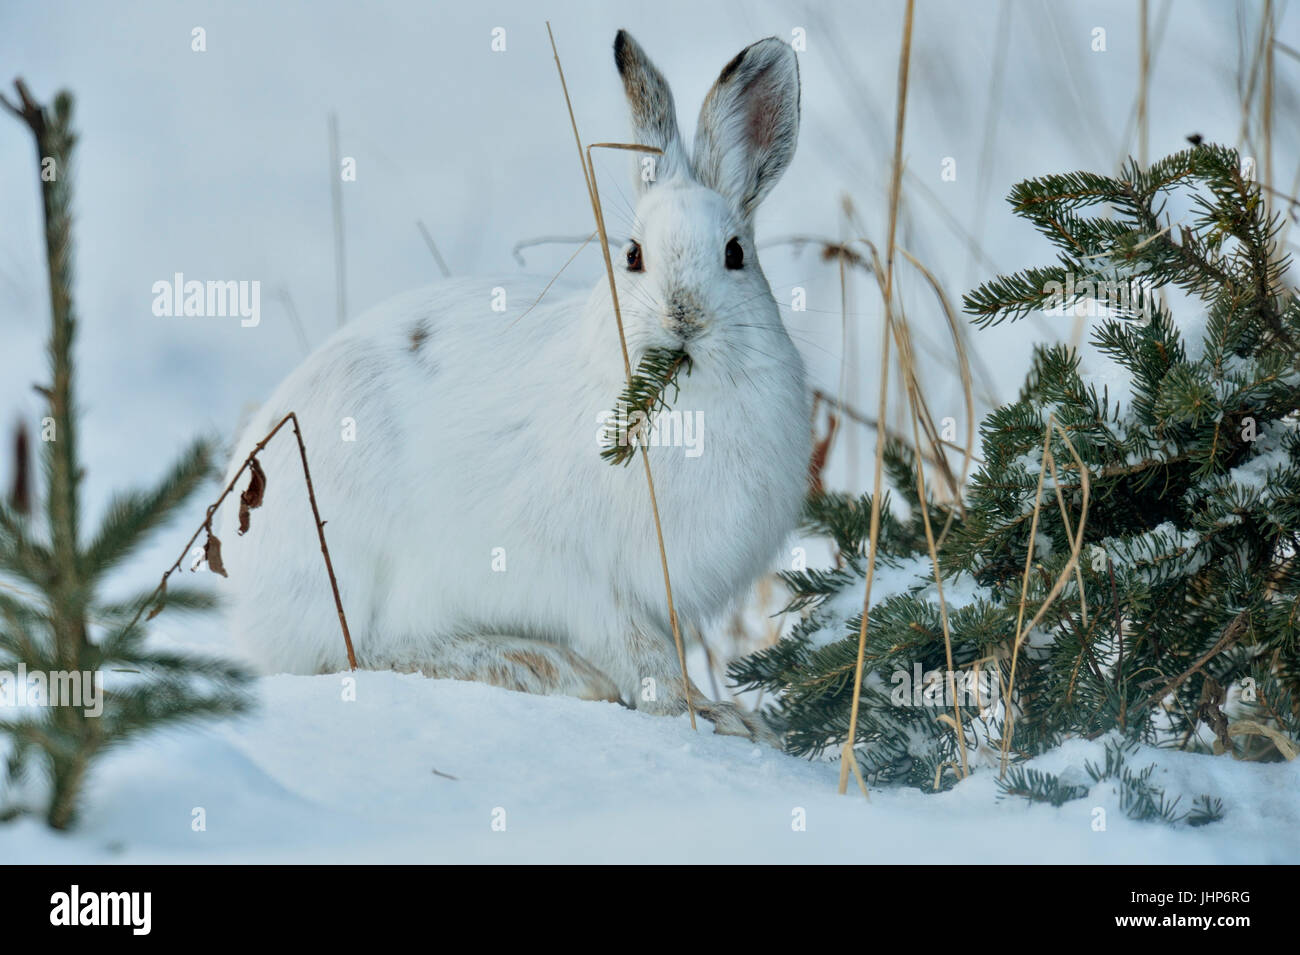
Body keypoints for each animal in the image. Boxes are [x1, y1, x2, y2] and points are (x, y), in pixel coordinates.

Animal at [218, 29, 809, 743]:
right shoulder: (584, 579)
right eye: (633, 256)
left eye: (734, 254)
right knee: (365, 654)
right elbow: (644, 655)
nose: (683, 318)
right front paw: (711, 716)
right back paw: (545, 668)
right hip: (356, 565)